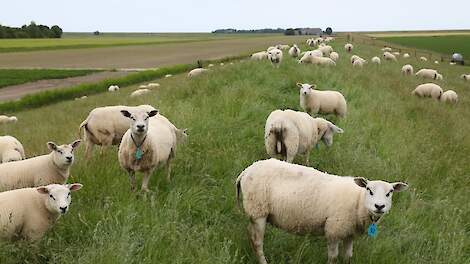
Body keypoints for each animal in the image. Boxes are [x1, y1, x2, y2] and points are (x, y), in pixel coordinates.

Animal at [237, 158, 410, 264]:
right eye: (369, 190)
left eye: (390, 193)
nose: (379, 206)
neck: (358, 201)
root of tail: (245, 171)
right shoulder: (334, 230)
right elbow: (333, 258)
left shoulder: (349, 233)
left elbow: (347, 257)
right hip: (258, 210)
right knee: (257, 242)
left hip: (255, 212)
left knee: (250, 235)